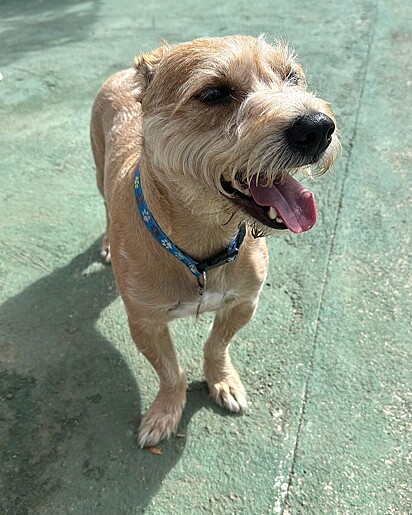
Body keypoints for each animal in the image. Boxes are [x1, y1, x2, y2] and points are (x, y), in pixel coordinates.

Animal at [90, 35, 338, 448]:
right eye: (214, 93)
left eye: (291, 76)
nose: (318, 128)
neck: (203, 245)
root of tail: (124, 74)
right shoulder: (144, 323)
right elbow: (170, 371)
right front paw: (164, 412)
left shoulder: (244, 303)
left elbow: (216, 345)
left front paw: (222, 381)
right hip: (97, 167)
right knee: (106, 205)